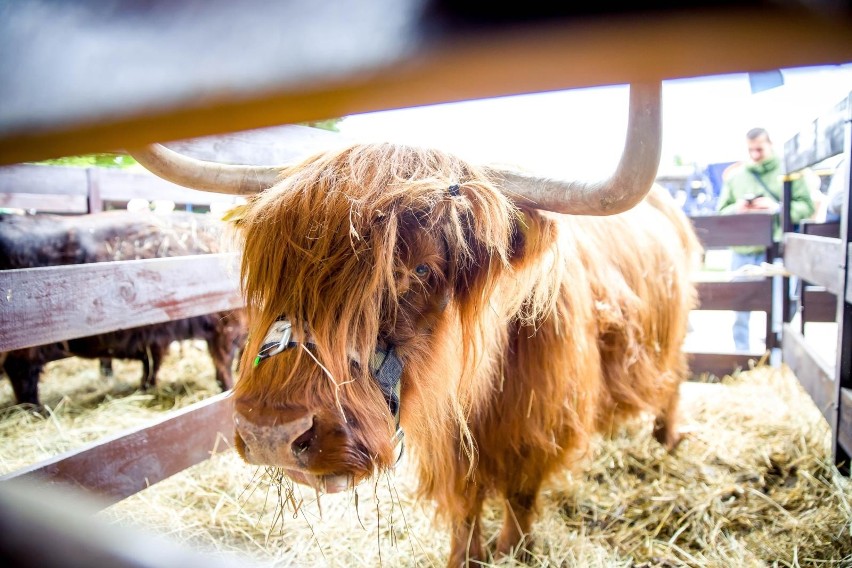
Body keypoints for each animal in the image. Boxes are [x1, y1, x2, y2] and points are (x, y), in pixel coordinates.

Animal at [0, 211, 248, 406]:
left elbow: (152, 366)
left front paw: (147, 387)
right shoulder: (226, 330)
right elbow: (224, 368)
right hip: (28, 346)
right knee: (21, 373)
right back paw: (36, 411)